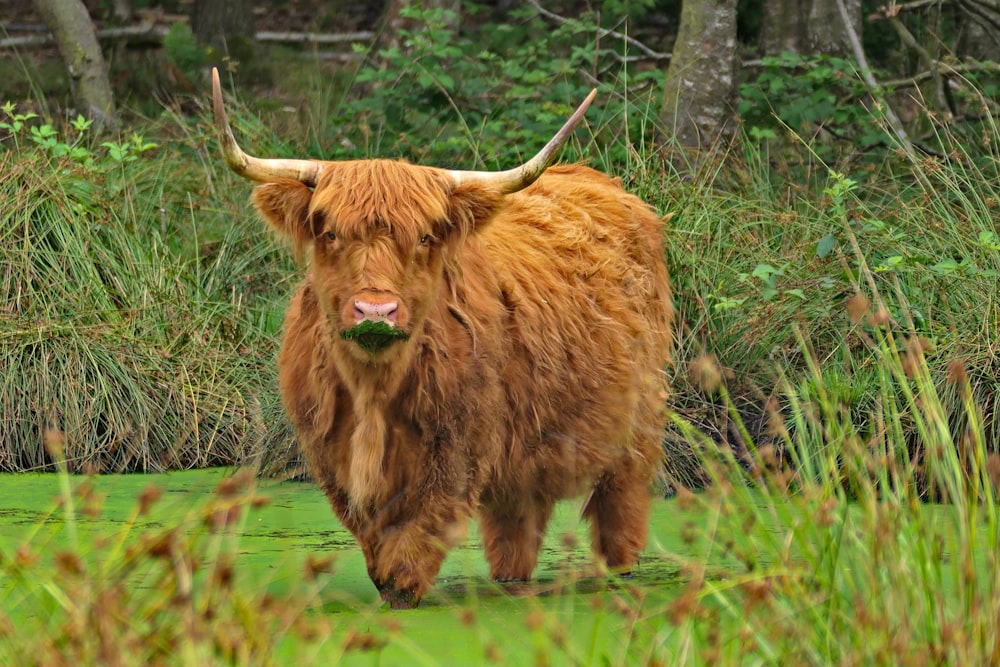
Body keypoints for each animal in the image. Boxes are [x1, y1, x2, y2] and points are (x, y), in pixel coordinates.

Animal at [214, 70, 676, 608]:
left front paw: (401, 589)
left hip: (638, 419)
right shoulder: (332, 454)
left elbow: (416, 535)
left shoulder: (455, 447)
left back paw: (617, 571)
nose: (376, 311)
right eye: (329, 233)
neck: (374, 391)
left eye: (424, 237)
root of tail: (604, 184)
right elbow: (372, 533)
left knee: (620, 507)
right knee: (516, 526)